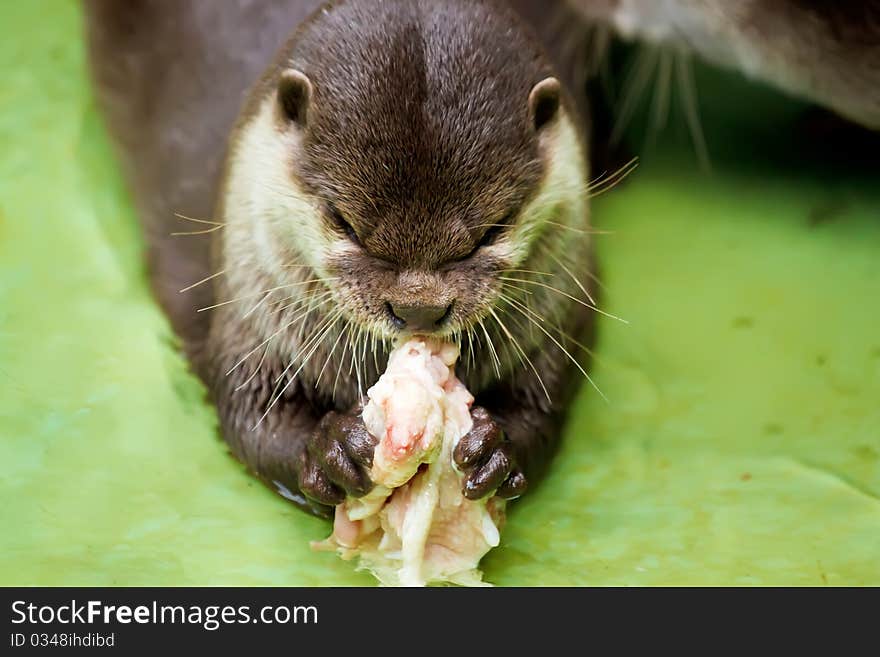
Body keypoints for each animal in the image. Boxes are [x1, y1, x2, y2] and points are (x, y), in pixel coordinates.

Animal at [86, 0, 600, 512]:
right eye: (344, 222)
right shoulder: (249, 322)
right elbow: (251, 417)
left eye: (493, 229)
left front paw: (497, 448)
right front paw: (331, 449)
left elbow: (542, 405)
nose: (418, 308)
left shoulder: (556, 319)